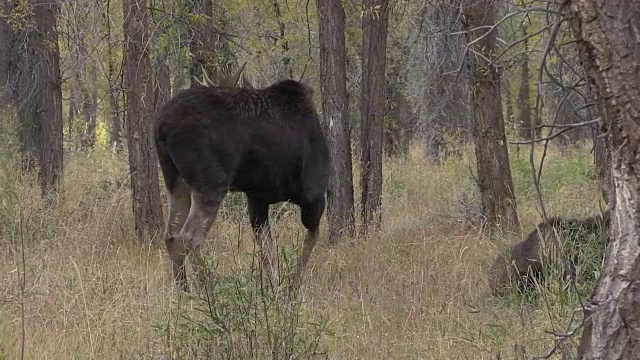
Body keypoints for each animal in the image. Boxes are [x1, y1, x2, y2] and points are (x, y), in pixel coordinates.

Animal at [152, 67, 328, 292]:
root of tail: (162, 126)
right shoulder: (314, 193)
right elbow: (309, 241)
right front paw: (291, 286)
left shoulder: (257, 199)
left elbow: (267, 251)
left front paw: (274, 286)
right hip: (212, 183)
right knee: (191, 237)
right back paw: (210, 290)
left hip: (175, 181)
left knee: (171, 235)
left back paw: (183, 290)